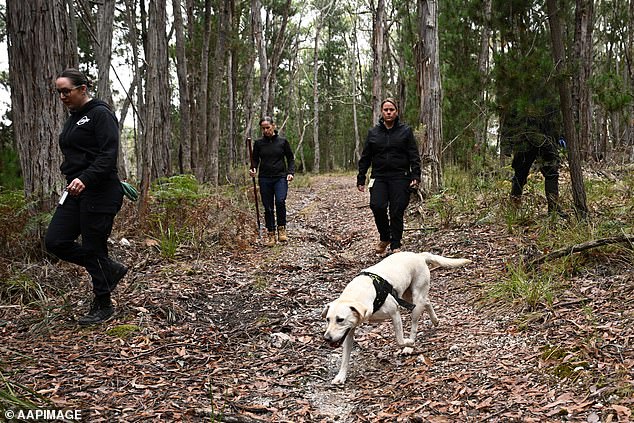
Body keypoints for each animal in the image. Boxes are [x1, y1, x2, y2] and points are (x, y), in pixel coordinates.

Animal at [324, 253, 466, 386]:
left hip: (416, 299)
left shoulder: (395, 313)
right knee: (427, 301)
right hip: (409, 297)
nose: (326, 338)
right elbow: (345, 357)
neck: (357, 294)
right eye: (327, 319)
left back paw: (410, 347)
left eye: (340, 319)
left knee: (415, 323)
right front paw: (341, 376)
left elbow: (399, 340)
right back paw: (435, 320)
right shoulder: (349, 331)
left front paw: (408, 343)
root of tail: (419, 255)